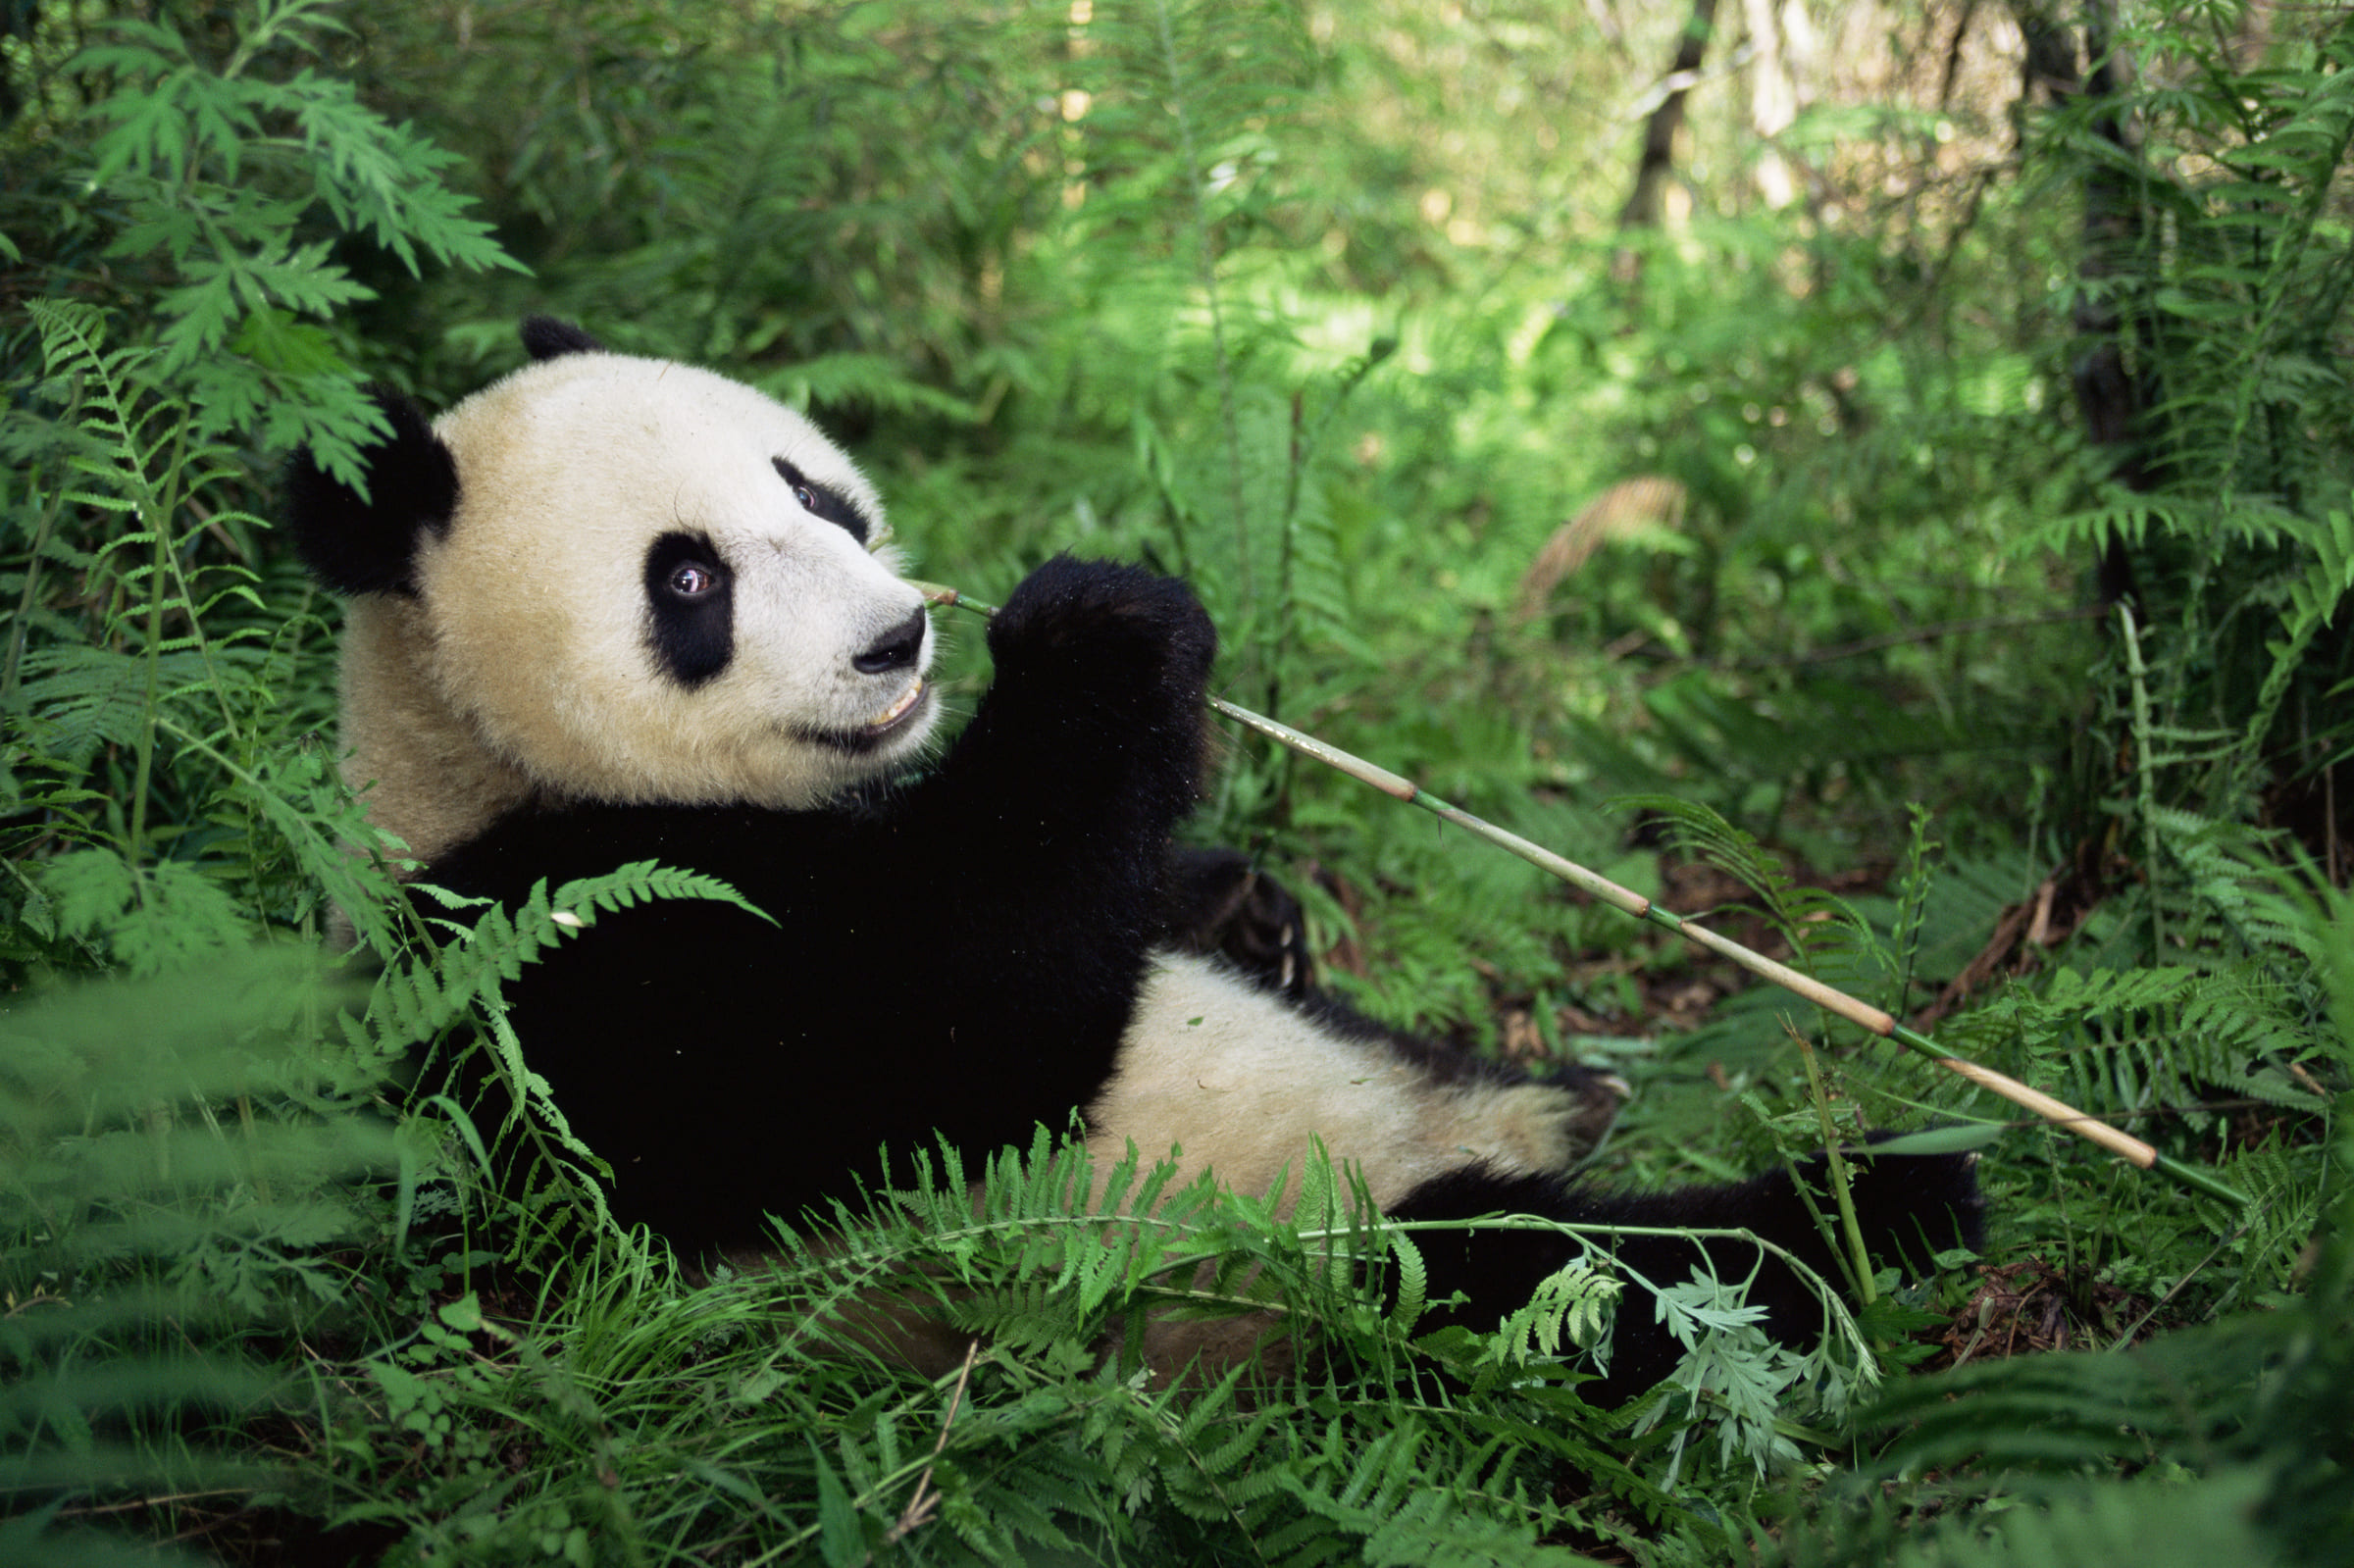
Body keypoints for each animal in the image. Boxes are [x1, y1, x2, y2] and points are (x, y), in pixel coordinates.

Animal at [289, 315, 1986, 1393]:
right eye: (689, 578)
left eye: (815, 490)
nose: (899, 638)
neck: (472, 757)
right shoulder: (556, 956)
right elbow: (942, 1036)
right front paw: (1102, 634)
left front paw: (1247, 899)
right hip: (1291, 1261)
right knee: (1562, 1277)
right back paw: (1878, 1208)